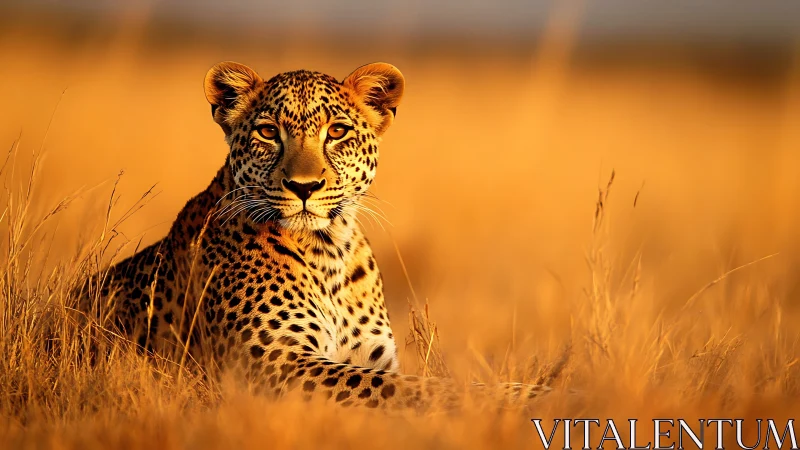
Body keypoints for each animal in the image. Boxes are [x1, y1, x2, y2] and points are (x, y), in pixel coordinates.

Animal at [77, 61, 550, 411]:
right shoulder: (275, 364)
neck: (329, 251)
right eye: (268, 132)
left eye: (337, 132)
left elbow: (407, 382)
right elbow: (417, 387)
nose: (304, 187)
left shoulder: (371, 357)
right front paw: (537, 395)